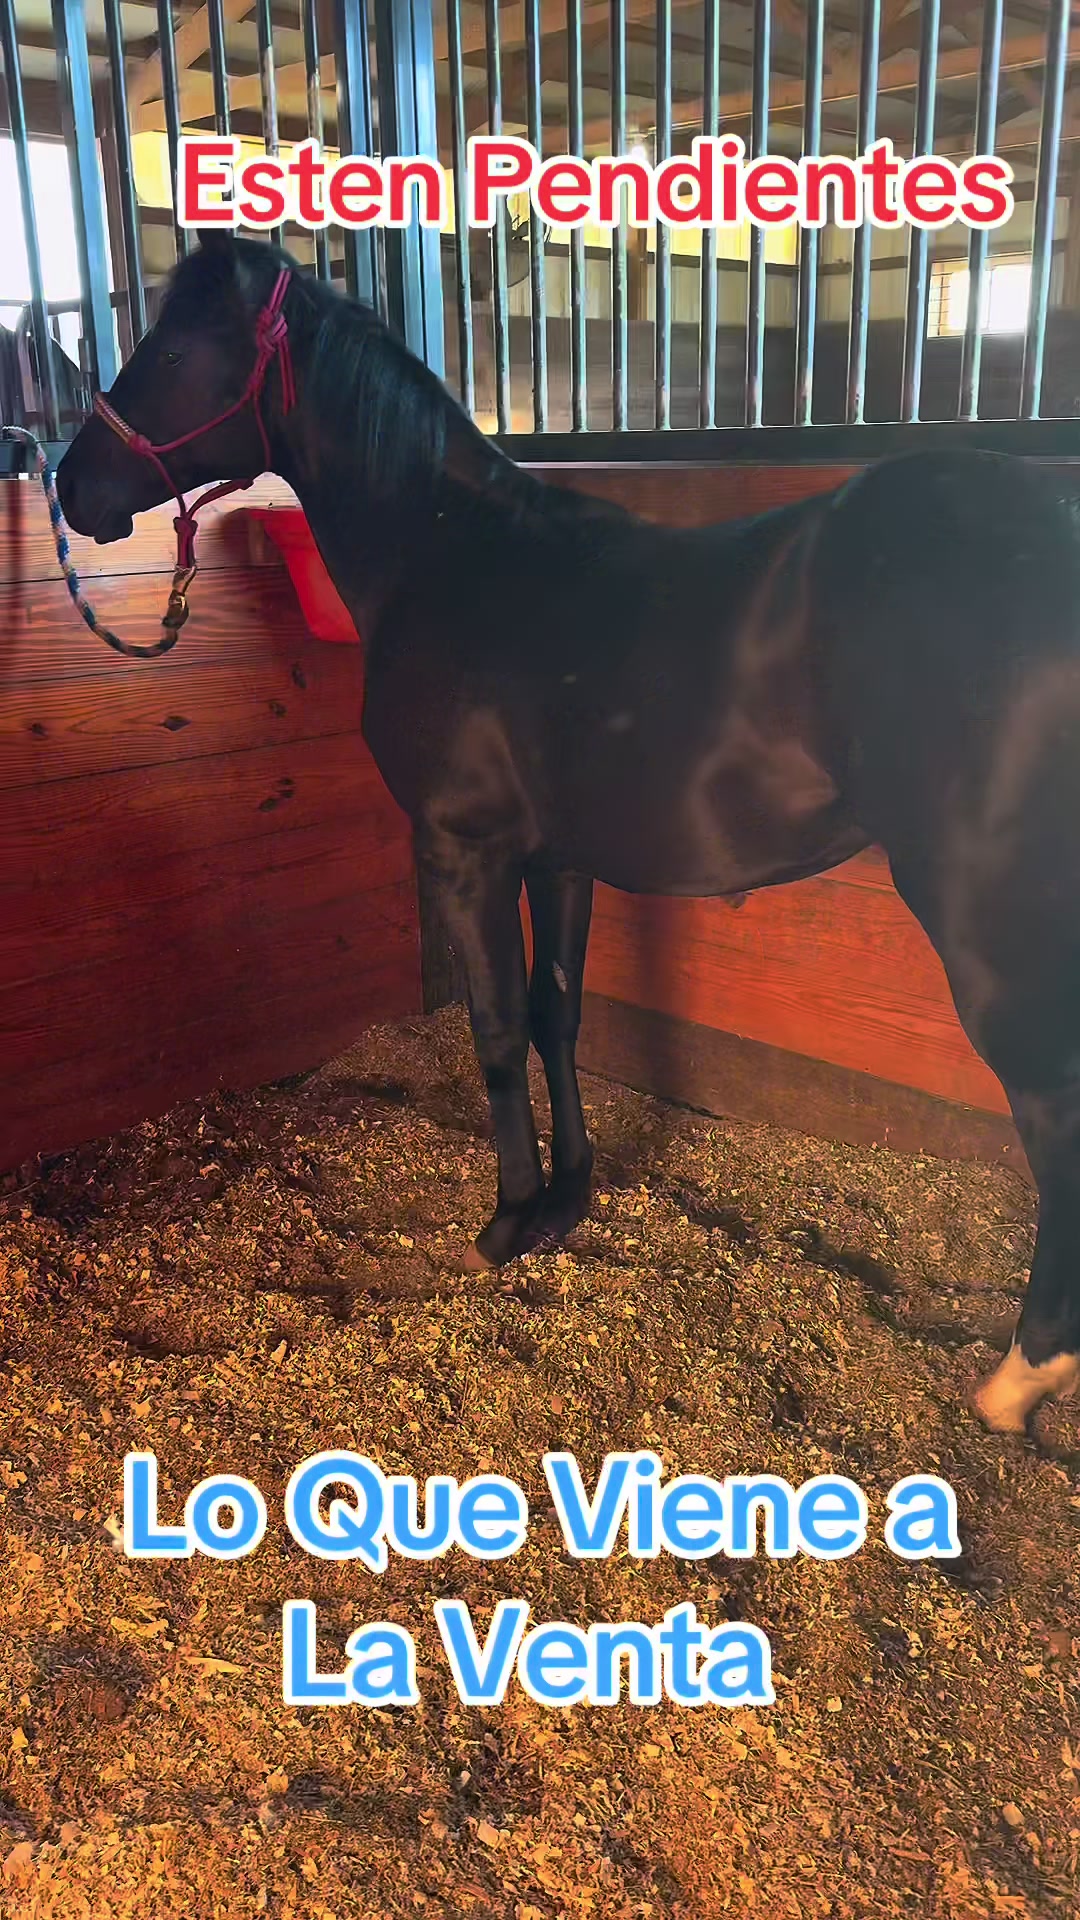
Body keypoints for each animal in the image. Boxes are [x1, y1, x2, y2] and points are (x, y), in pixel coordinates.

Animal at [56, 231, 1080, 1439]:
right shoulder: (561, 862)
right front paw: (569, 1197)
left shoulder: (466, 852)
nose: (69, 486)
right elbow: (558, 1015)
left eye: (171, 349)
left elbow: (498, 1030)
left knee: (1055, 1121)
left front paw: (505, 1221)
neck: (452, 559)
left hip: (988, 928)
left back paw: (1020, 1378)